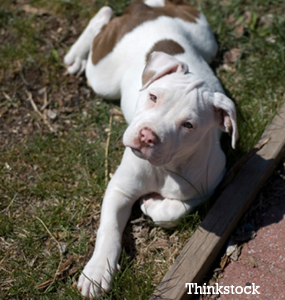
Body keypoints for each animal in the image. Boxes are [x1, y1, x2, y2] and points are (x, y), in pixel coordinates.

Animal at [64, 0, 237, 298]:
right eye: (153, 97)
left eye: (188, 125)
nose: (146, 136)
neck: (165, 167)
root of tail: (146, 9)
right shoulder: (119, 189)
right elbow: (109, 229)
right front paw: (97, 273)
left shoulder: (207, 186)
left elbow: (174, 211)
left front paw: (152, 204)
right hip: (103, 78)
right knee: (103, 17)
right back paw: (76, 55)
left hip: (206, 40)